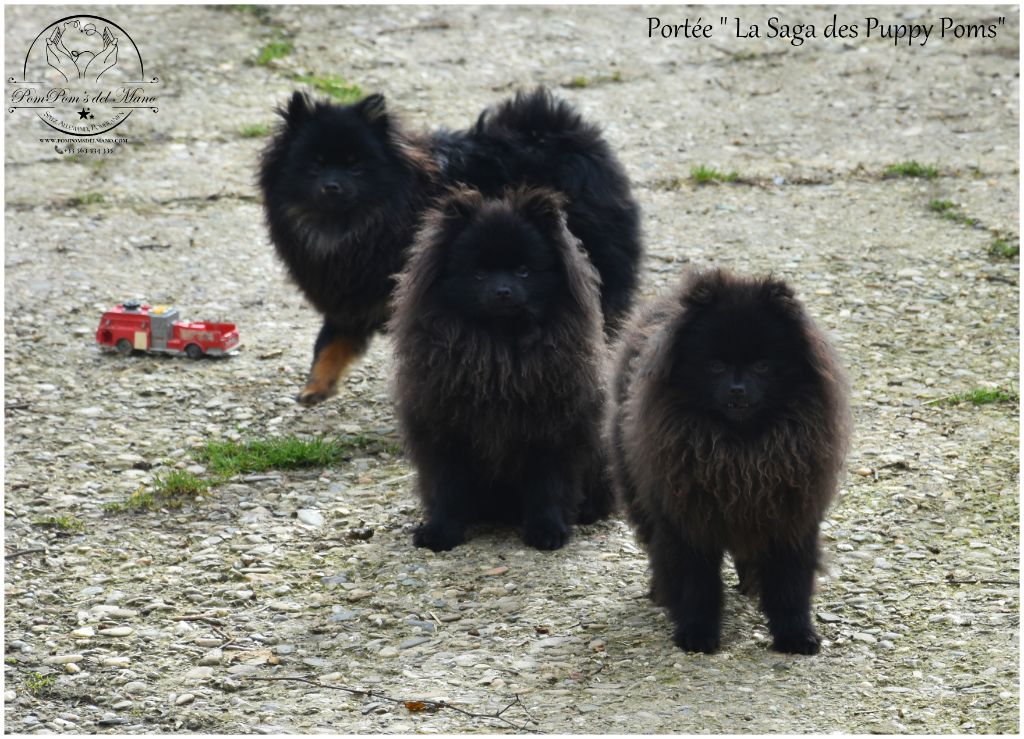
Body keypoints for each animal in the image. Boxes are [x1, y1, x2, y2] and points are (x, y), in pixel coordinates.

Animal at [258, 90, 638, 409]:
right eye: (316, 164)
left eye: (355, 165)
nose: (332, 185)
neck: (354, 229)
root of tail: (559, 132)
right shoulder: (351, 299)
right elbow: (328, 343)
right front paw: (316, 386)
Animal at [391, 187, 610, 548]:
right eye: (479, 273)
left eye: (523, 270)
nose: (503, 291)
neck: (500, 349)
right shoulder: (445, 431)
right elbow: (448, 488)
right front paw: (440, 532)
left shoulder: (553, 432)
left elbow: (548, 487)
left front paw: (547, 530)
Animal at [602, 268, 851, 650]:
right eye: (716, 366)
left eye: (762, 366)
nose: (738, 389)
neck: (741, 446)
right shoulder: (686, 520)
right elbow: (695, 584)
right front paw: (697, 634)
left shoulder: (791, 517)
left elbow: (791, 584)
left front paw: (796, 635)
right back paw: (660, 592)